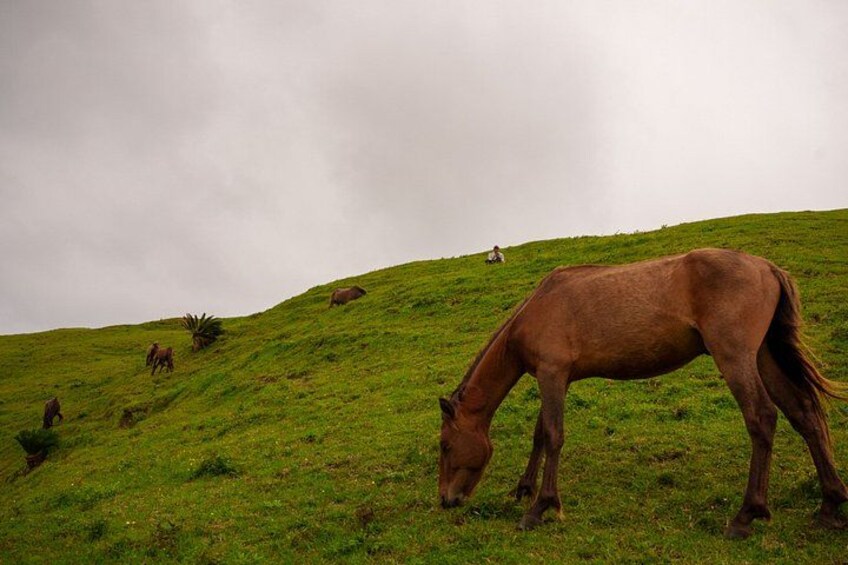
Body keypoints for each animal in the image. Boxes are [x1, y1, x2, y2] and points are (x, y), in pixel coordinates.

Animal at [438, 249, 847, 539]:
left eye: (444, 445)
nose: (445, 499)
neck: (537, 308)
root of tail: (767, 268)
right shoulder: (554, 377)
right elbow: (540, 435)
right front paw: (524, 489)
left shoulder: (551, 375)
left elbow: (553, 436)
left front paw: (541, 508)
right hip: (762, 355)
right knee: (803, 412)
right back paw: (830, 505)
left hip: (735, 356)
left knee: (762, 417)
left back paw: (746, 515)